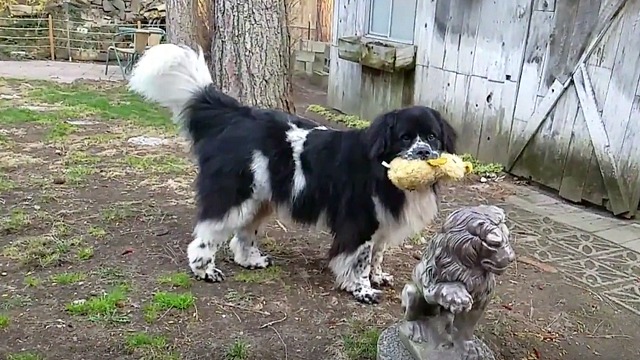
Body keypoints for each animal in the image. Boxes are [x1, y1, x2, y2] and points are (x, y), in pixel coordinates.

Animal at [127, 44, 458, 304]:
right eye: (405, 137)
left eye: (432, 137)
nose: (423, 153)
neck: (380, 166)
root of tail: (236, 117)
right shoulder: (360, 222)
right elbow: (360, 260)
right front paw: (362, 289)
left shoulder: (382, 224)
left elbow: (377, 255)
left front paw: (378, 277)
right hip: (236, 196)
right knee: (206, 236)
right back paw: (205, 270)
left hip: (260, 199)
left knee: (242, 236)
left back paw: (251, 261)